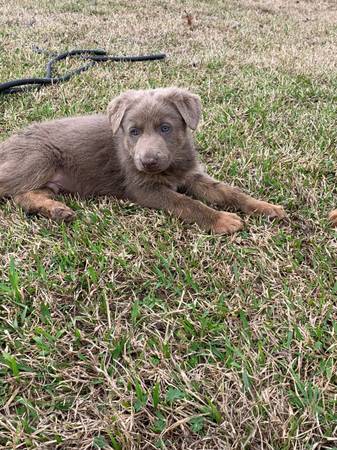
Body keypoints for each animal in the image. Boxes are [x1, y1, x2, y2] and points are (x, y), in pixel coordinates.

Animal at [0, 88, 284, 236]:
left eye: (165, 128)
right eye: (133, 131)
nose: (148, 162)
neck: (172, 164)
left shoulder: (191, 174)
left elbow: (229, 192)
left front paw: (265, 207)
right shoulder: (144, 188)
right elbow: (187, 203)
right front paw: (221, 220)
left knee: (24, 196)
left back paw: (56, 210)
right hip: (39, 158)